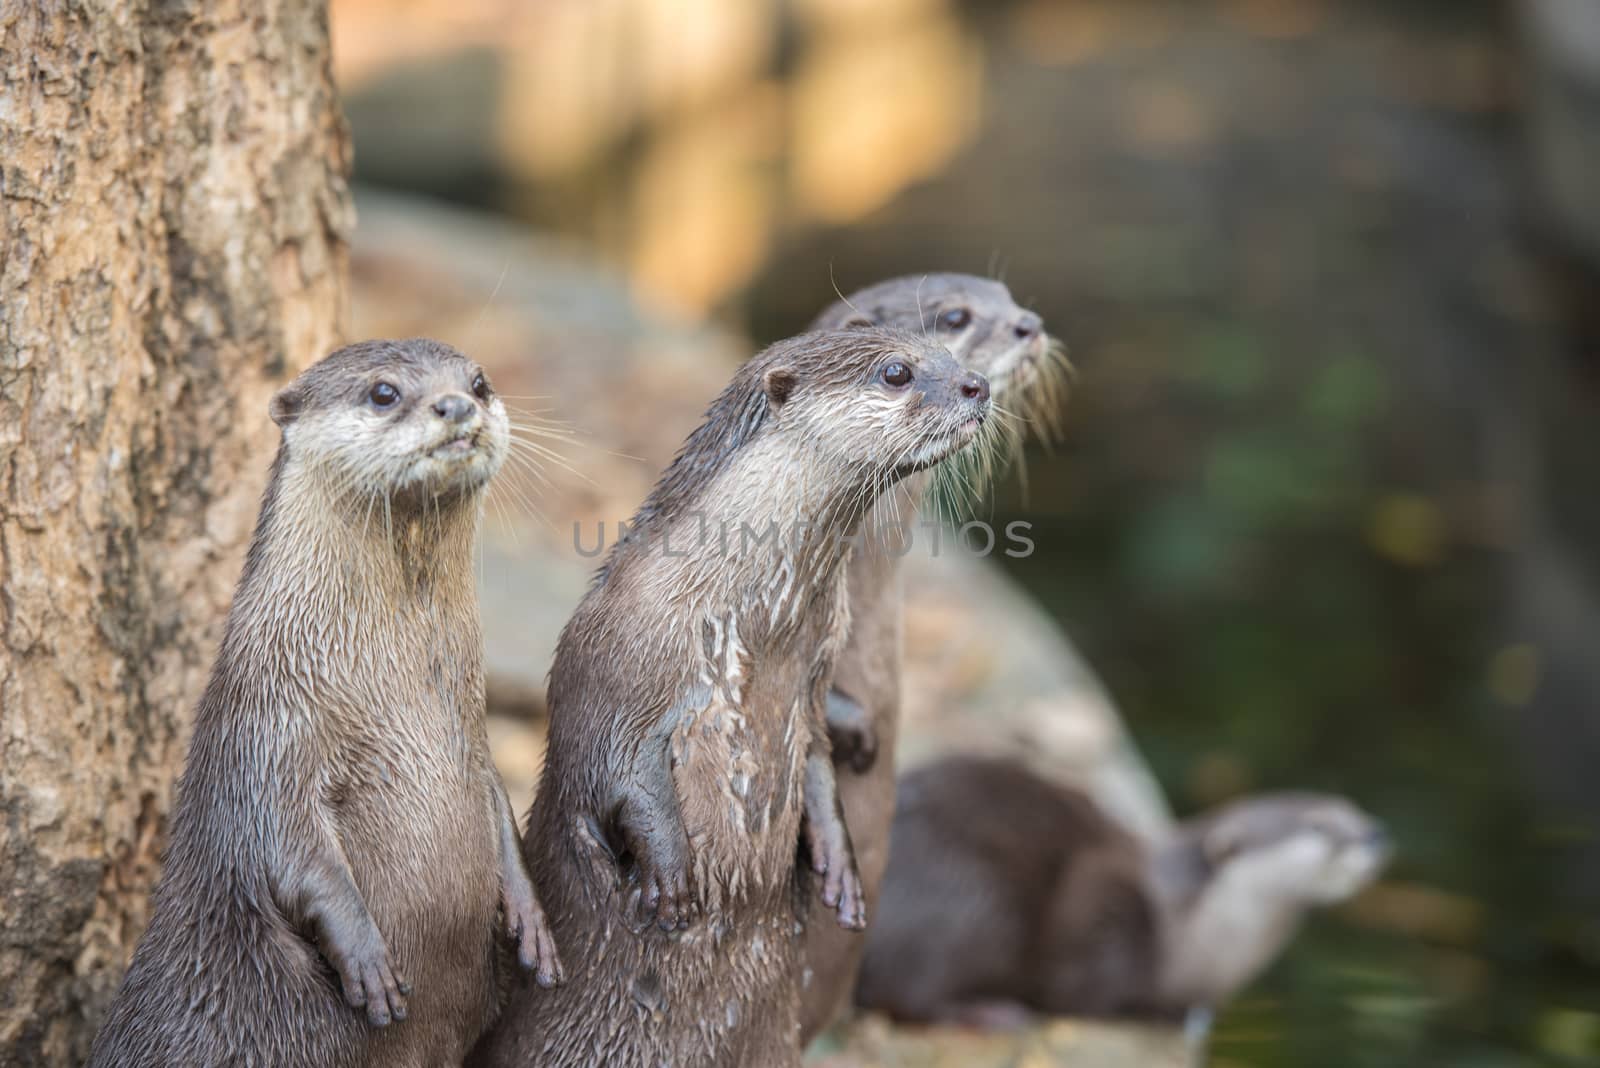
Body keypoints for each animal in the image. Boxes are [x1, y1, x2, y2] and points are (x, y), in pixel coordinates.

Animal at [89, 340, 563, 1068]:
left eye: (480, 382)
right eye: (383, 392)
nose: (457, 406)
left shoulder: (473, 743)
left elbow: (497, 809)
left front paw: (532, 921)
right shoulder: (265, 734)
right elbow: (290, 847)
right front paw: (368, 962)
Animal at [473, 327, 992, 1068]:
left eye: (944, 346)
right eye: (897, 372)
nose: (979, 385)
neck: (751, 620)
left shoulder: (814, 680)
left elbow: (818, 762)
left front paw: (838, 864)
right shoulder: (619, 656)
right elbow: (610, 759)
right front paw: (671, 878)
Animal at [857, 751, 1395, 1023]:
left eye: (1351, 809)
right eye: (1319, 826)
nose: (1375, 832)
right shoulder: (1107, 907)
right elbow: (1083, 991)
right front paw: (1154, 1009)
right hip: (972, 903)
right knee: (904, 996)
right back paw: (989, 1011)